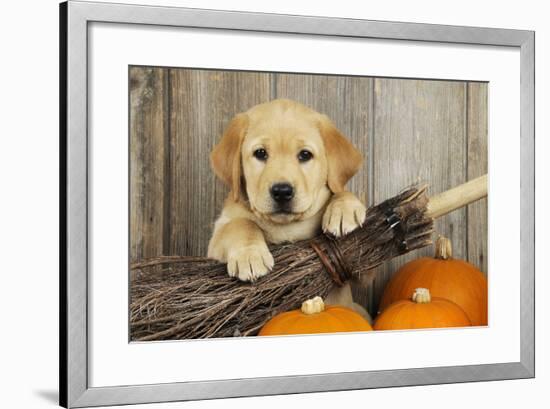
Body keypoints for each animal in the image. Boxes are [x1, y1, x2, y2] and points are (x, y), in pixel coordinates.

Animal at [210, 98, 370, 316]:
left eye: (305, 155)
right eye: (260, 153)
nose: (282, 191)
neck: (287, 226)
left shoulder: (360, 270)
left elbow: (339, 190)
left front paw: (344, 209)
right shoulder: (214, 243)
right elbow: (240, 224)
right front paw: (250, 255)